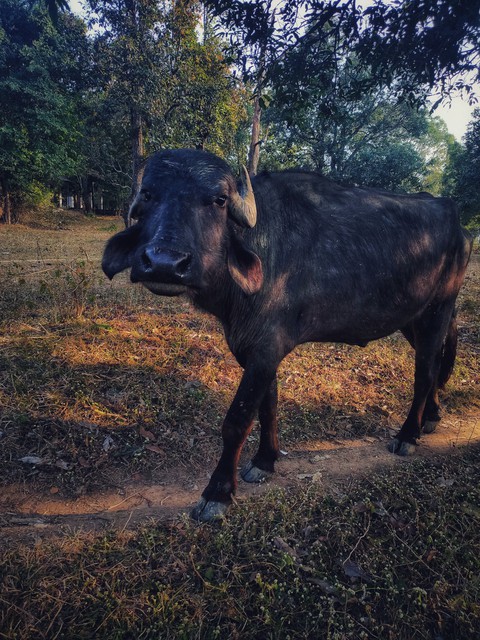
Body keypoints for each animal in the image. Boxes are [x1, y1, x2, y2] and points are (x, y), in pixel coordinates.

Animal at [102, 149, 472, 521]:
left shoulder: (266, 349)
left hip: (438, 308)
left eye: (219, 200)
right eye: (148, 195)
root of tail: (458, 222)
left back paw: (408, 434)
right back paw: (431, 417)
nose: (164, 263)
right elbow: (268, 406)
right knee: (434, 362)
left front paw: (218, 492)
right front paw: (265, 461)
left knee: (425, 370)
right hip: (412, 317)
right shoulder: (252, 350)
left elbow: (238, 420)